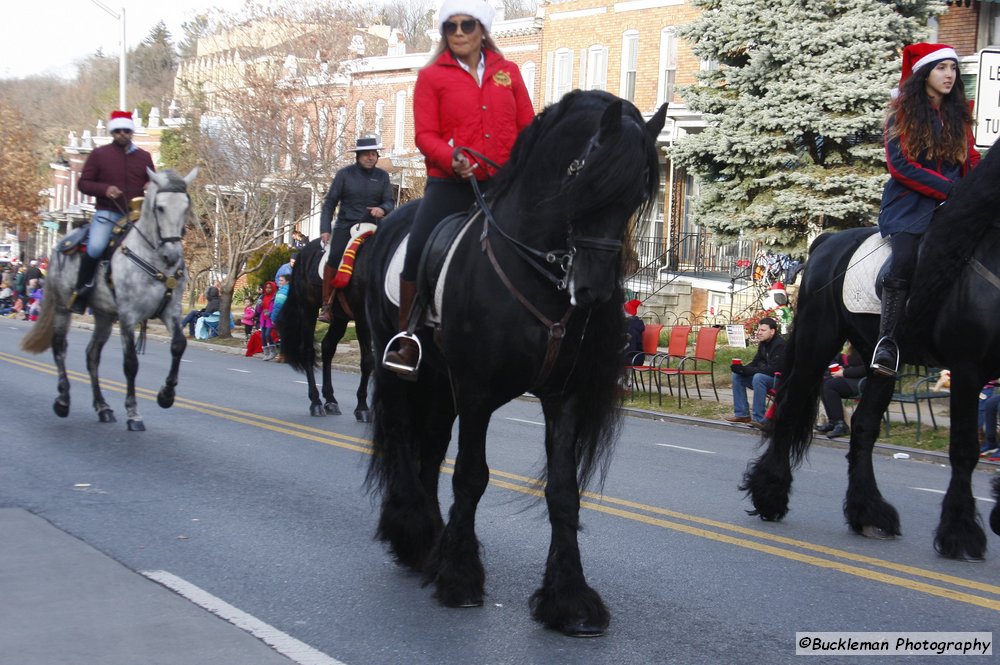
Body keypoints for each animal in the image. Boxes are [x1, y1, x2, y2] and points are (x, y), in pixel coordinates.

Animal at [22, 167, 197, 430]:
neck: (154, 260)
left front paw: (166, 395)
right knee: (60, 348)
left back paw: (103, 407)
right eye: (160, 207)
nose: (172, 255)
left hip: (104, 315)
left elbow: (178, 345)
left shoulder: (171, 311)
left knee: (92, 355)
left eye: (186, 206)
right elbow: (131, 363)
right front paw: (133, 413)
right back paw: (63, 400)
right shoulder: (128, 316)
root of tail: (62, 243)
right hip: (63, 307)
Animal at [278, 236, 376, 418]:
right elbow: (368, 361)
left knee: (328, 348)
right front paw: (362, 408)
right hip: (308, 310)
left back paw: (330, 400)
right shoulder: (363, 319)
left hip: (340, 318)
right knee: (308, 351)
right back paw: (316, 402)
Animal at [366, 91, 664, 636]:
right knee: (399, 437)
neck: (535, 272)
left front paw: (569, 598)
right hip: (396, 368)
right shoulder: (476, 390)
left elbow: (563, 491)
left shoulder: (563, 397)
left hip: (438, 383)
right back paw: (412, 534)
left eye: (635, 196)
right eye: (585, 179)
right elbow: (471, 475)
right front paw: (461, 577)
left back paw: (429, 540)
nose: (593, 291)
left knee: (430, 447)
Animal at [748, 144, 1000, 560]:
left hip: (877, 361)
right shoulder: (968, 369)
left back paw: (868, 512)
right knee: (788, 410)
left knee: (864, 427)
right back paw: (770, 495)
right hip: (819, 342)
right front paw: (961, 533)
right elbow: (965, 448)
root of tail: (827, 242)